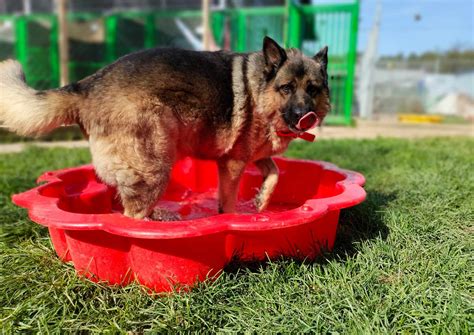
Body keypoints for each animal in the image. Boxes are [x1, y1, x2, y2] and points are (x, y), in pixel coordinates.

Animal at [0, 36, 330, 222]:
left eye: (313, 89)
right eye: (287, 88)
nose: (306, 116)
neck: (260, 89)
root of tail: (86, 86)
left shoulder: (256, 155)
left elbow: (275, 172)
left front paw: (261, 200)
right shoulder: (233, 164)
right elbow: (229, 203)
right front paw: (235, 217)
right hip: (154, 166)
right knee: (131, 218)